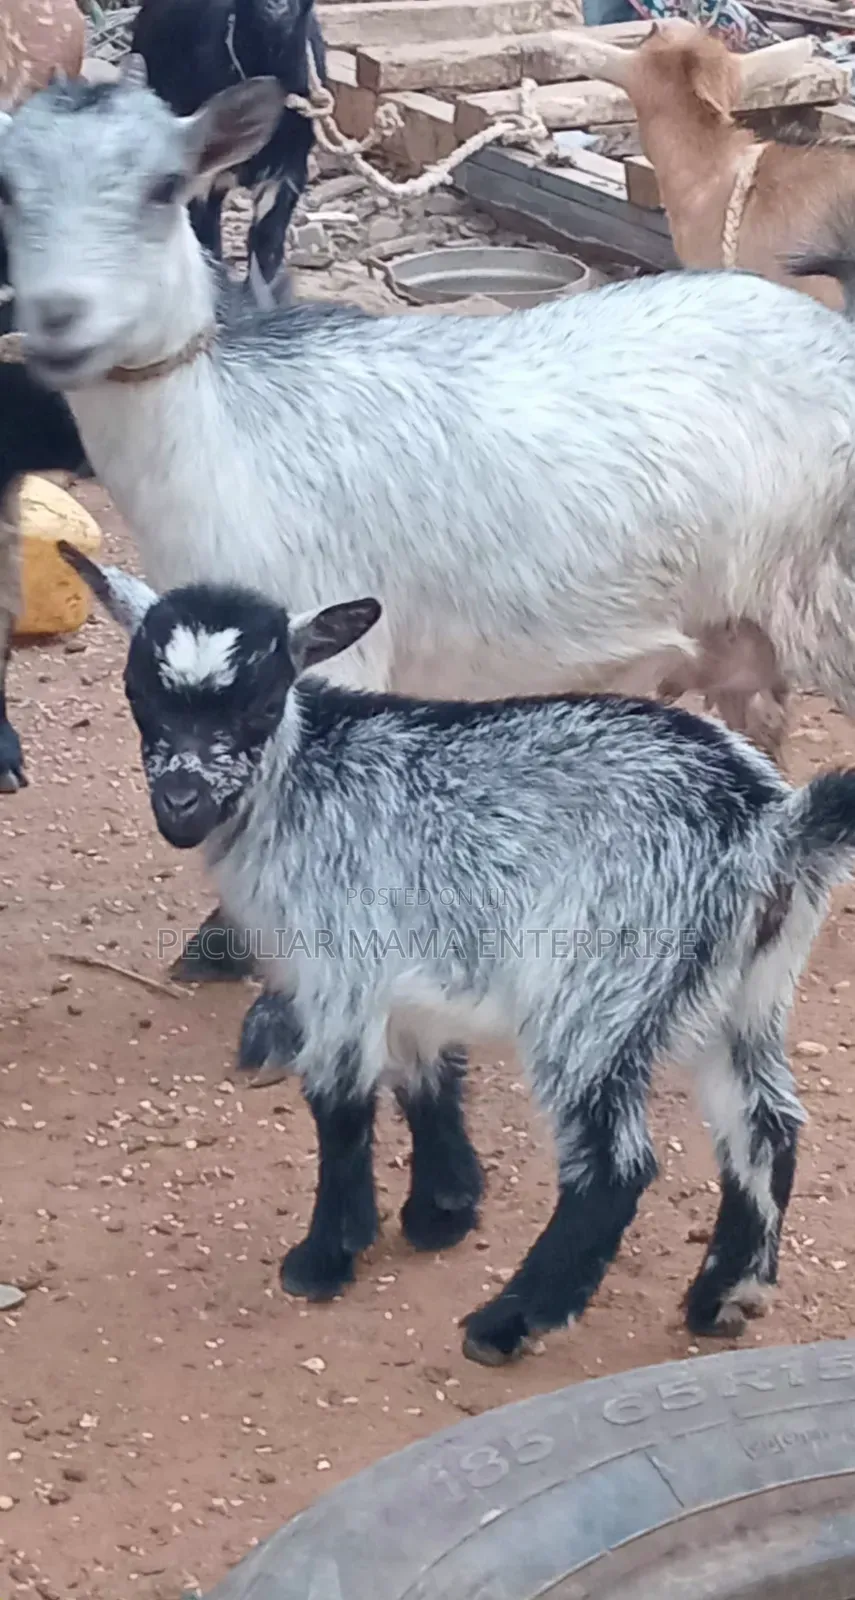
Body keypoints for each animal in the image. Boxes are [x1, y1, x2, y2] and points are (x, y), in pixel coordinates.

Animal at [9, 74, 855, 981]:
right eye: (7, 189)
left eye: (164, 186)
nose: (58, 319)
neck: (224, 431)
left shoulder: (329, 643)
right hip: (736, 618)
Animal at [63, 545, 855, 1363]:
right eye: (137, 693)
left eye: (260, 701)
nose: (180, 803)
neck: (302, 779)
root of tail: (770, 825)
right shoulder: (407, 974)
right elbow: (428, 1079)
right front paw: (441, 1212)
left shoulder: (338, 966)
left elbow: (340, 1102)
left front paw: (325, 1256)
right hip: (744, 991)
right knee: (765, 1124)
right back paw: (724, 1296)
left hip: (594, 990)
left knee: (614, 1167)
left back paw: (512, 1319)